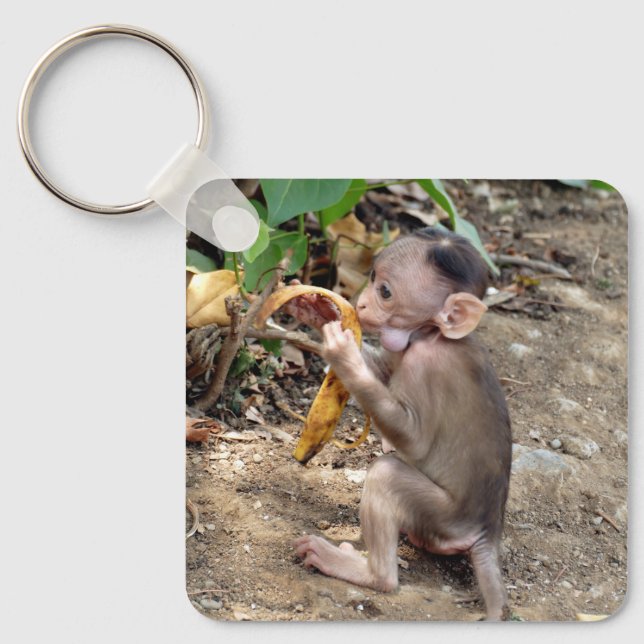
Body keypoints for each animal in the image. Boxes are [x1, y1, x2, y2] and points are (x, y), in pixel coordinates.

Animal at [293, 227, 513, 621]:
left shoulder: (425, 364)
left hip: (443, 517)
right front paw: (317, 310)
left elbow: (414, 441)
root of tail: (488, 532)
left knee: (387, 475)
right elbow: (383, 370)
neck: (433, 333)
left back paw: (369, 573)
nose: (362, 304)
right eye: (372, 276)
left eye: (385, 292)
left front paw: (343, 354)